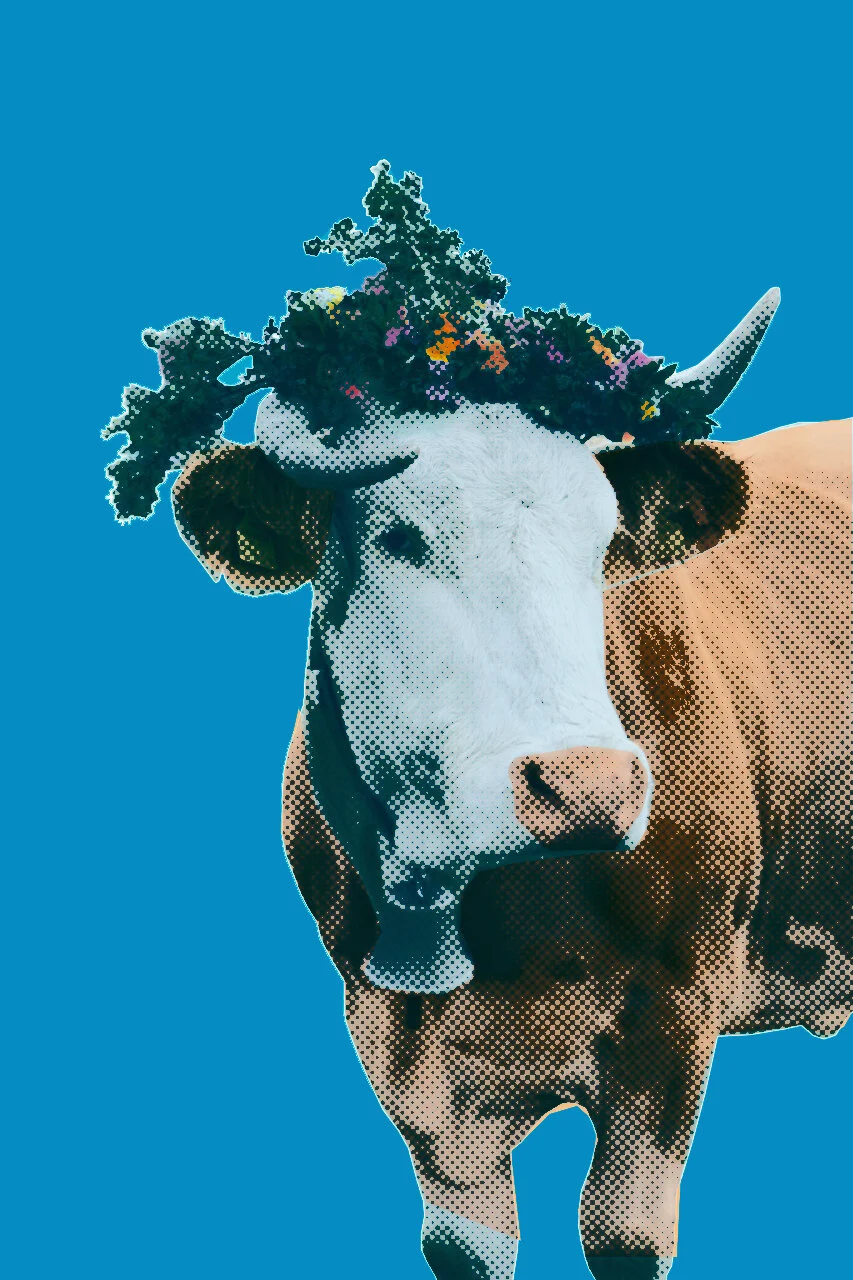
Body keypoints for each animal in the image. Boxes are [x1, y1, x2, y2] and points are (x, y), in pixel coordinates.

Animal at [159, 289, 852, 1280]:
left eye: (604, 544)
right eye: (398, 535)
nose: (588, 786)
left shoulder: (674, 1014)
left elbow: (623, 1235)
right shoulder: (400, 1054)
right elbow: (466, 1240)